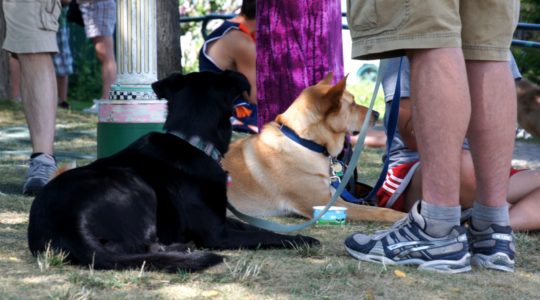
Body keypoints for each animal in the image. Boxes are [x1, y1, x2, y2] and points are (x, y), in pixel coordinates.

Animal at [27, 71, 318, 274]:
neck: (192, 140)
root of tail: (68, 223)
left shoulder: (220, 218)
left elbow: (251, 225)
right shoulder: (217, 234)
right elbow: (264, 235)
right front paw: (301, 239)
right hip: (137, 187)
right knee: (143, 246)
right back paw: (182, 248)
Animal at [223, 73, 404, 223]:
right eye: (352, 104)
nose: (377, 114)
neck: (303, 142)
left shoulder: (333, 197)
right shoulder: (323, 203)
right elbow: (377, 211)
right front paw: (400, 215)